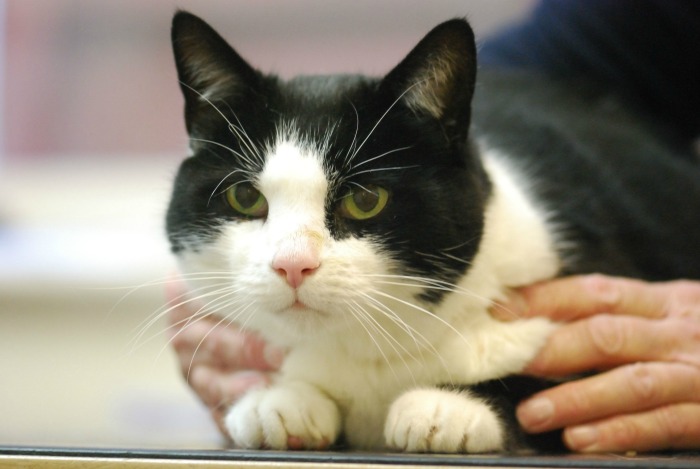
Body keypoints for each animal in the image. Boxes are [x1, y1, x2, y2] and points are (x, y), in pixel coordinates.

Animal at [167, 10, 700, 450]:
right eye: (245, 197)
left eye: (365, 200)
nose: (292, 264)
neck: (369, 353)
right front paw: (277, 400)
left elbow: (550, 386)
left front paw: (449, 405)